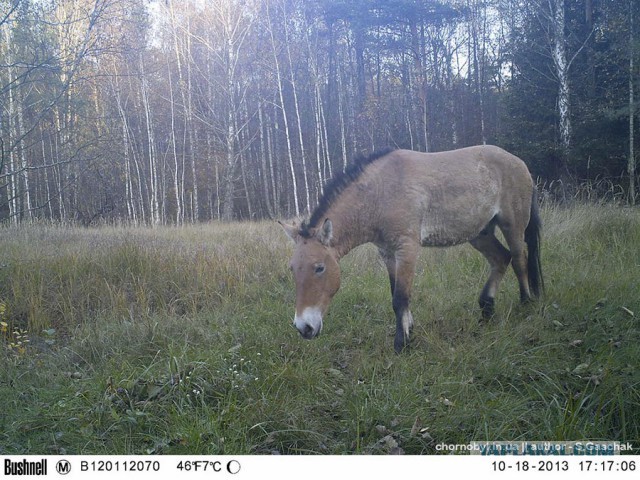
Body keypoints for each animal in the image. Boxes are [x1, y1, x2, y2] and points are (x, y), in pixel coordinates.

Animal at [278, 145, 544, 352]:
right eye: (292, 269)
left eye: (319, 268)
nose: (304, 327)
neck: (379, 193)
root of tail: (520, 163)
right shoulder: (387, 253)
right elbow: (395, 293)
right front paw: (409, 330)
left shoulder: (407, 248)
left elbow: (400, 297)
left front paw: (401, 344)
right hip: (480, 233)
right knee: (501, 259)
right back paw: (486, 310)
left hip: (512, 225)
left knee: (519, 259)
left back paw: (526, 304)